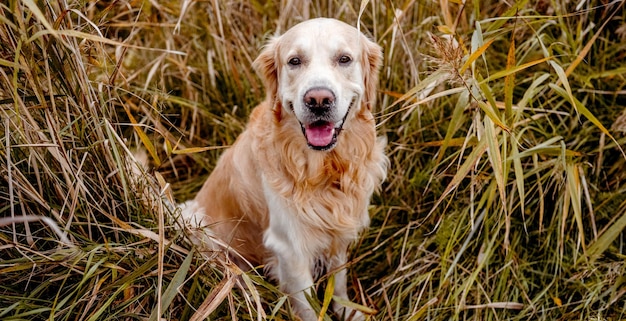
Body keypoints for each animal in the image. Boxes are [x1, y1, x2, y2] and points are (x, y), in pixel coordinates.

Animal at [180, 18, 386, 320]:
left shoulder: (339, 230)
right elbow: (308, 307)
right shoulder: (289, 249)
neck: (322, 170)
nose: (319, 100)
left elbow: (338, 281)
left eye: (344, 59)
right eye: (294, 61)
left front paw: (347, 310)